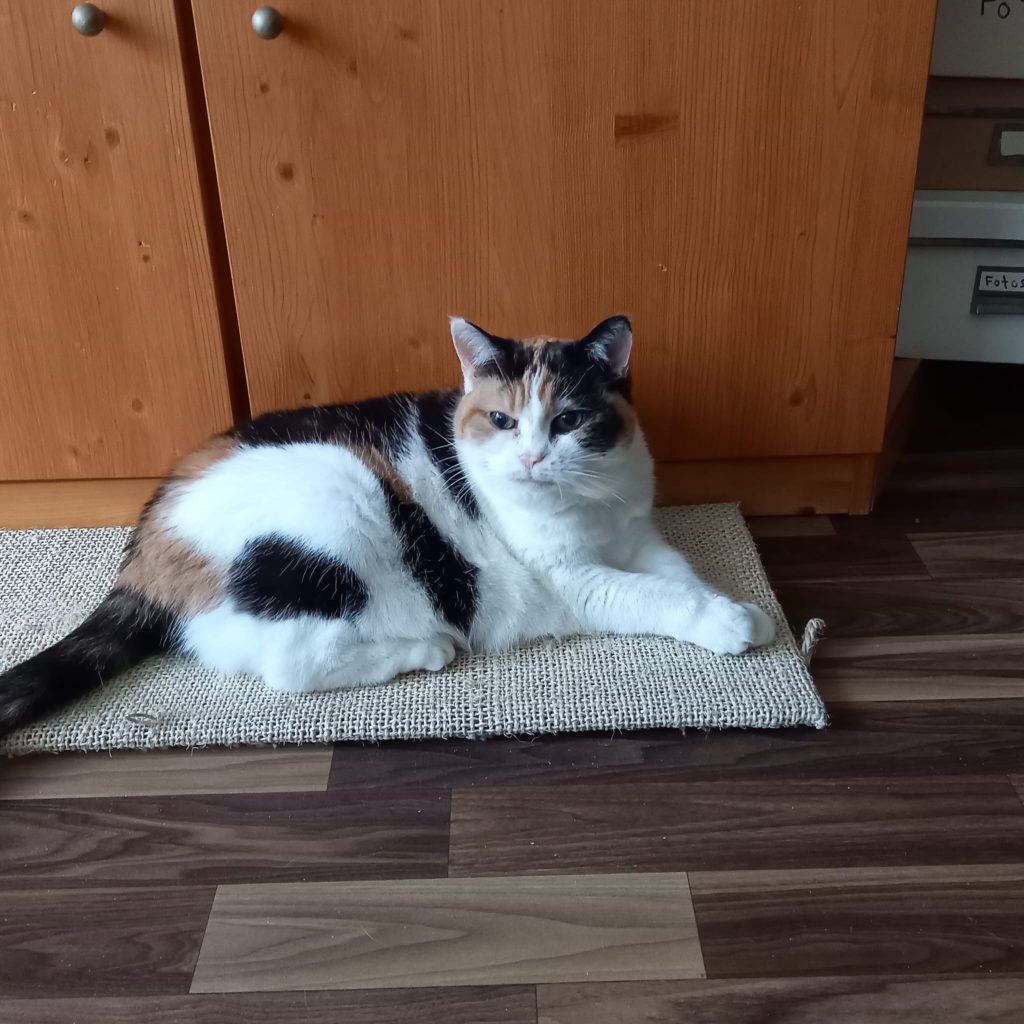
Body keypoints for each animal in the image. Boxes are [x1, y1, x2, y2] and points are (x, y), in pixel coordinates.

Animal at [0, 316, 774, 735]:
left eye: (570, 420)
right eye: (502, 419)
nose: (531, 457)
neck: (594, 504)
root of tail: (149, 544)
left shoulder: (641, 535)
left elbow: (680, 575)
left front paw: (735, 606)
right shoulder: (571, 579)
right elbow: (653, 595)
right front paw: (730, 623)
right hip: (339, 500)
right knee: (287, 664)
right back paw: (426, 647)